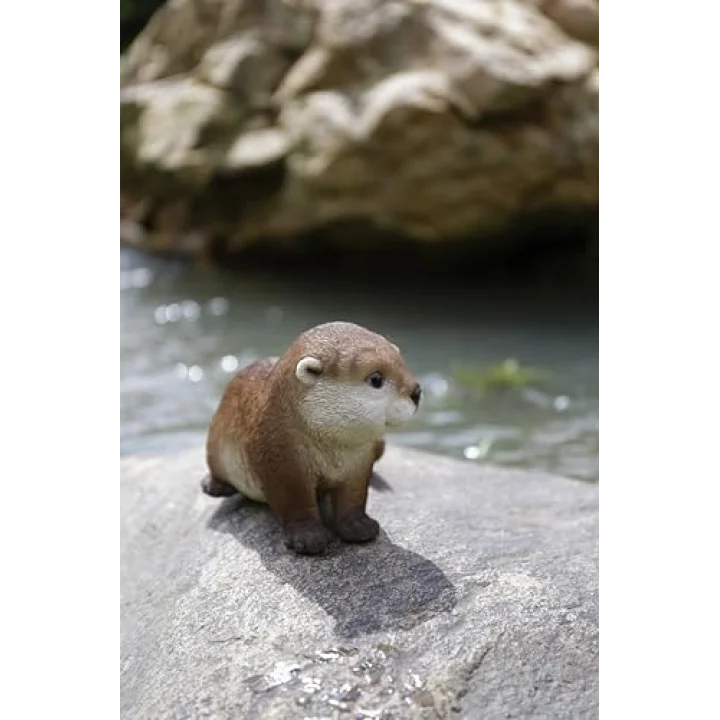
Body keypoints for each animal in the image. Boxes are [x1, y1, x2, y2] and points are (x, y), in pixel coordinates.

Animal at [201, 321, 422, 555]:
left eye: (402, 363)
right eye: (376, 379)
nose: (417, 391)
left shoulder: (359, 463)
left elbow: (354, 496)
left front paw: (358, 526)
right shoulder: (282, 460)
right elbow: (295, 502)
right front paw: (308, 537)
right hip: (215, 440)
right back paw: (214, 486)